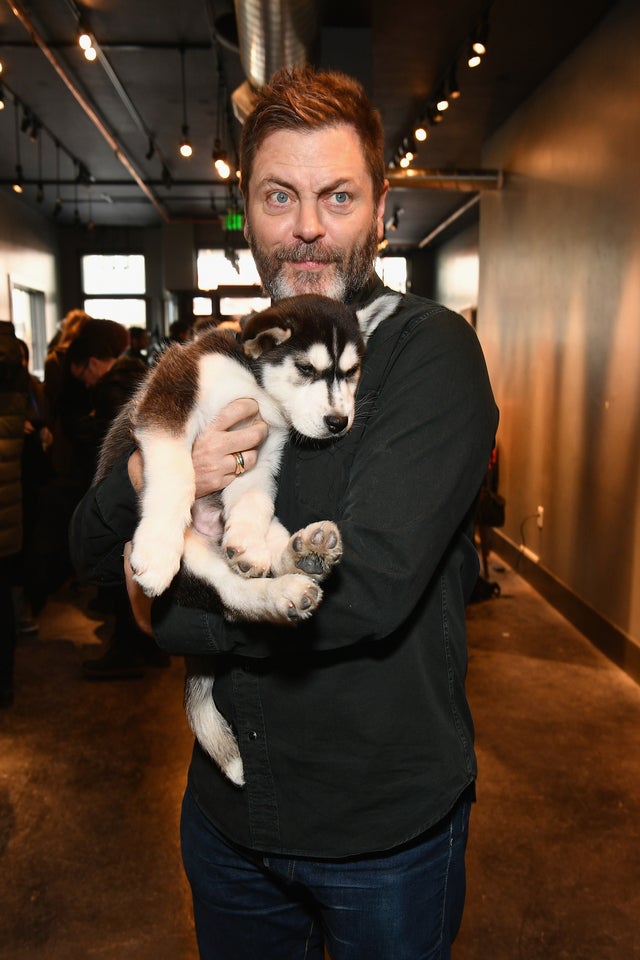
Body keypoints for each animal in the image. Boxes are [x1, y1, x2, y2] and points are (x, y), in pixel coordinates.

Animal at [97, 288, 398, 784]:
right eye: (306, 369)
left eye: (351, 372)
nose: (339, 421)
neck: (255, 386)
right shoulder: (170, 399)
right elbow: (178, 474)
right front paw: (157, 550)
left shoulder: (263, 450)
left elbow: (255, 500)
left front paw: (248, 543)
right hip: (196, 563)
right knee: (233, 597)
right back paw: (282, 591)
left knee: (263, 561)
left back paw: (303, 555)